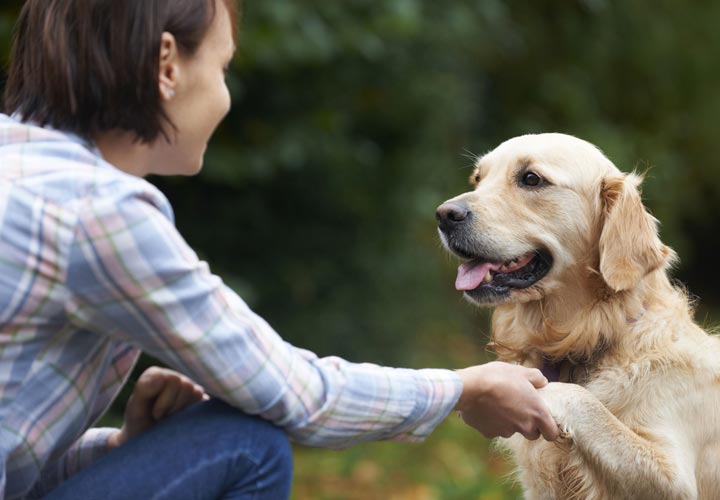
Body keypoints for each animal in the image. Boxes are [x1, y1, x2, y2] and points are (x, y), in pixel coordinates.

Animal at [434, 133, 720, 500]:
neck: (592, 336)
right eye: (478, 179)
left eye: (531, 178)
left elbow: (580, 399)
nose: (444, 214)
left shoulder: (675, 477)